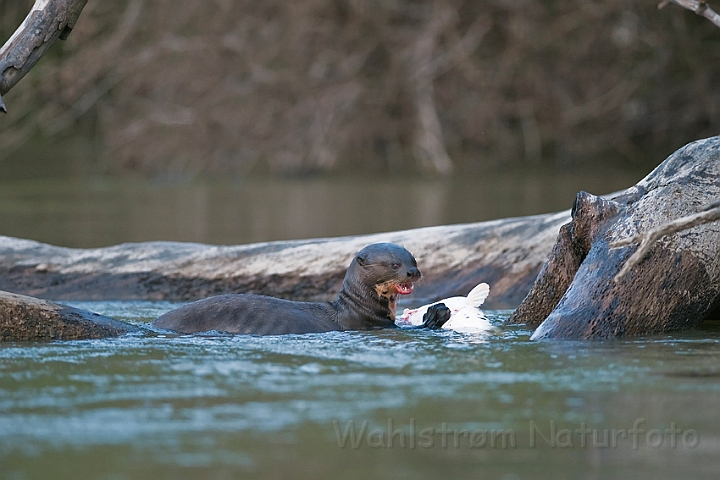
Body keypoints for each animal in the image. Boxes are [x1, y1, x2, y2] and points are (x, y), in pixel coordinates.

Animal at [152, 244, 450, 334]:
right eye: (394, 264)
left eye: (414, 259)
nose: (413, 273)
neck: (358, 307)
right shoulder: (372, 323)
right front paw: (437, 313)